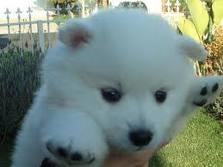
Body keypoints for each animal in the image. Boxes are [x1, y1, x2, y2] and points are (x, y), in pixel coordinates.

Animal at [11, 9, 222, 167]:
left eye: (161, 95)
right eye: (111, 94)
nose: (142, 136)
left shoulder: (164, 128)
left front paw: (201, 88)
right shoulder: (50, 107)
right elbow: (74, 113)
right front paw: (74, 142)